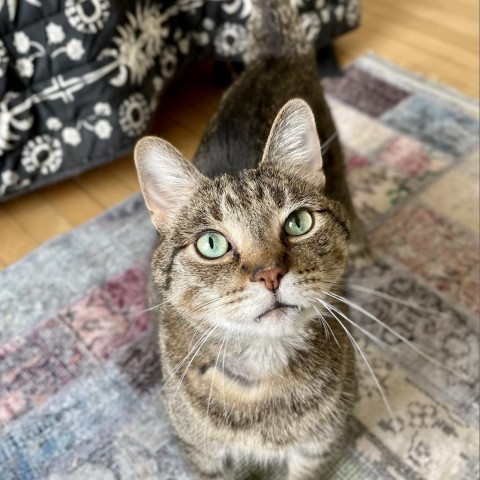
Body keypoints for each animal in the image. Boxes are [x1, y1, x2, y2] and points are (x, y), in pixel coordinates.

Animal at [135, 1, 372, 478]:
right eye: (211, 244)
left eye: (298, 222)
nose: (270, 274)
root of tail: (274, 55)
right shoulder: (201, 454)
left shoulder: (320, 448)